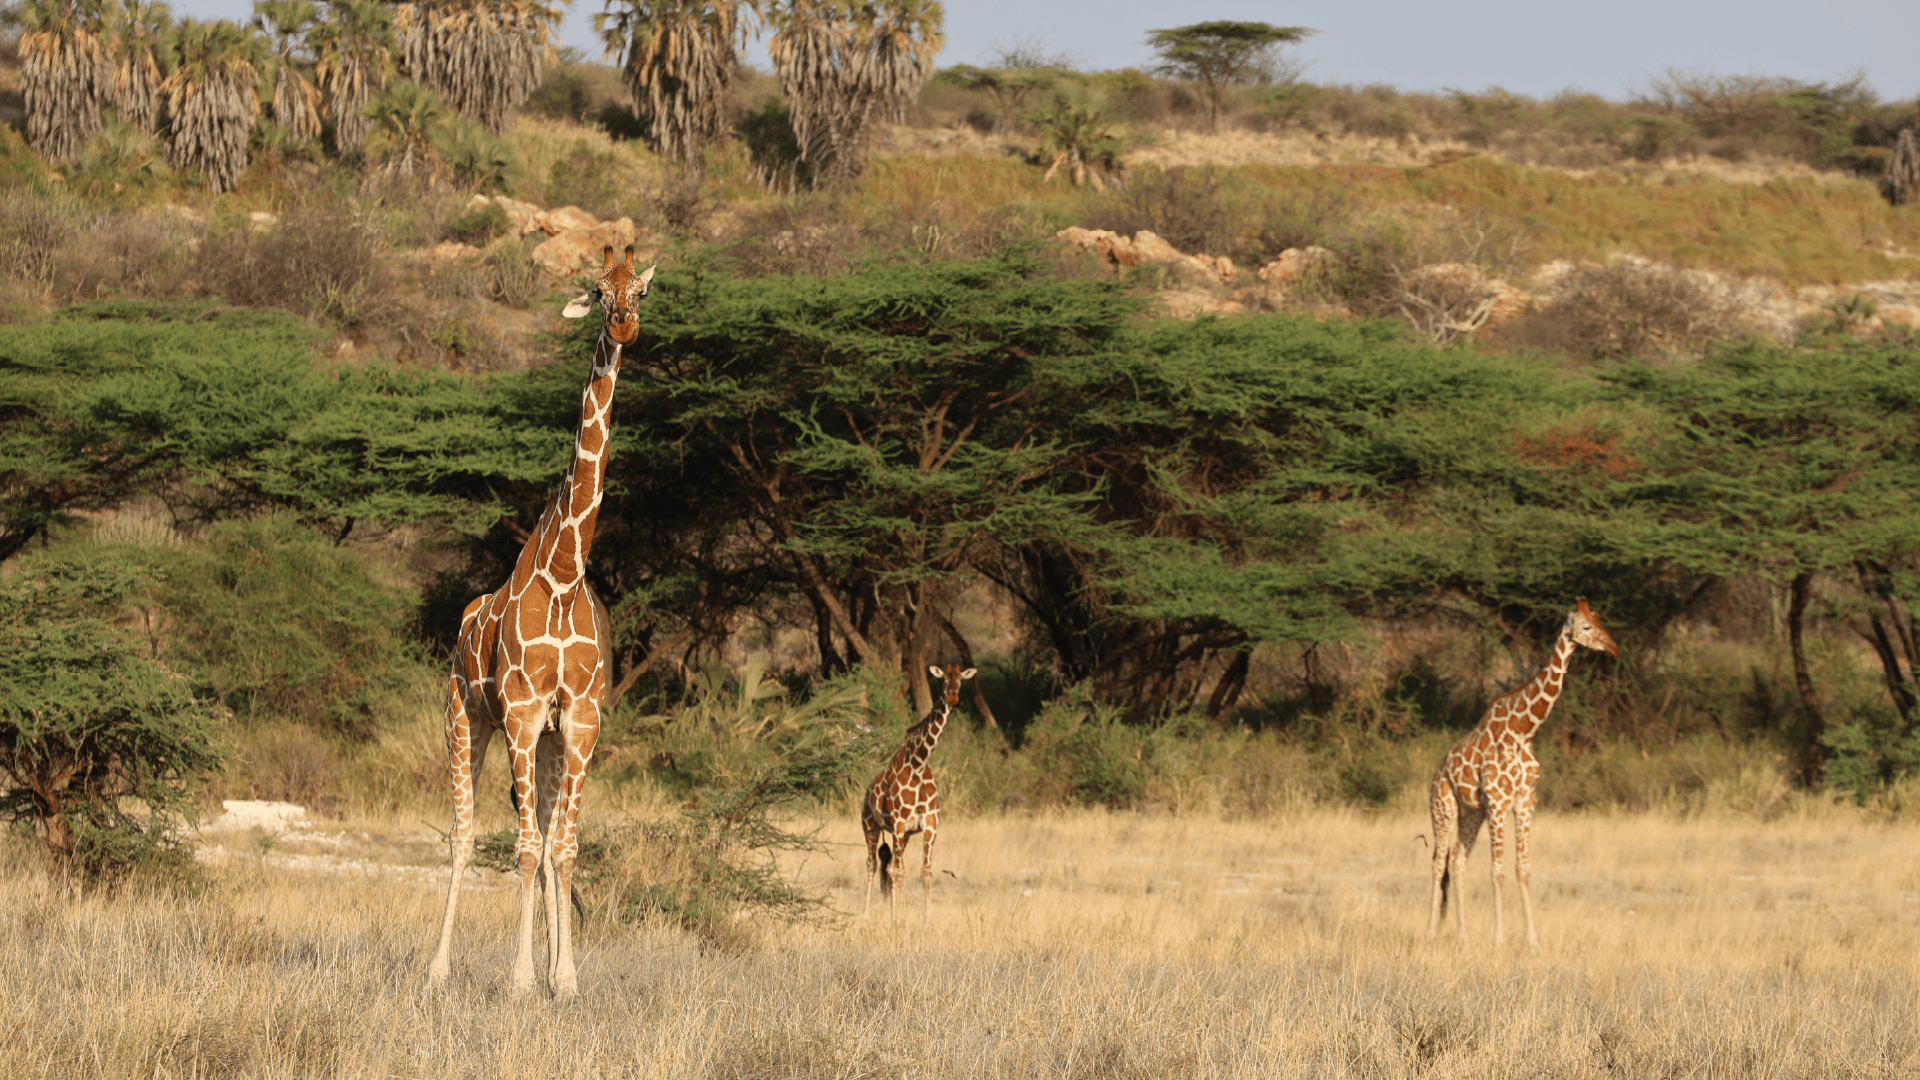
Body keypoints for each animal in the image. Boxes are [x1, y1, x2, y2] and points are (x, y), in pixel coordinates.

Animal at [426, 246, 654, 996]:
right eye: (597, 289)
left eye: (642, 290)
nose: (624, 323)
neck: (563, 571)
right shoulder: (522, 715)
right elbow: (525, 848)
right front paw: (522, 979)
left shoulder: (579, 720)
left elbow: (565, 848)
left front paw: (567, 979)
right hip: (465, 718)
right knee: (464, 833)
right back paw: (435, 970)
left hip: (550, 740)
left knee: (549, 836)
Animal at [863, 665, 976, 918]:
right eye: (943, 680)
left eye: (960, 680)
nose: (952, 697)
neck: (918, 764)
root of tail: (866, 793)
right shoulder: (898, 823)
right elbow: (900, 871)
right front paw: (898, 918)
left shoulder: (930, 824)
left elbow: (925, 871)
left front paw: (926, 918)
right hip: (870, 826)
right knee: (872, 865)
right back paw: (867, 912)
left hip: (901, 836)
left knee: (890, 868)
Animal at [1427, 597, 1619, 950]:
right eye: (1586, 626)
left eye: (1600, 620)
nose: (1613, 648)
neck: (1524, 730)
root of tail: (1437, 772)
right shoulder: (1499, 804)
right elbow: (1498, 871)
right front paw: (1500, 939)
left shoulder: (1525, 802)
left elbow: (1523, 870)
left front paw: (1533, 942)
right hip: (1443, 808)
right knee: (1438, 863)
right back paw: (1432, 932)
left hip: (1471, 813)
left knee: (1457, 861)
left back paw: (1462, 936)